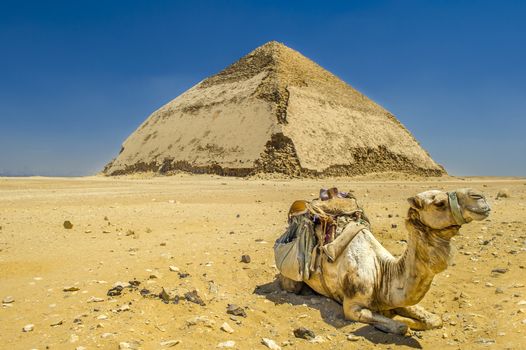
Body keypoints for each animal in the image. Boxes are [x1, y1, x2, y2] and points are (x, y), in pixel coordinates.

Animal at [282, 187, 492, 334]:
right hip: (291, 279)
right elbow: (400, 327)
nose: (480, 197)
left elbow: (434, 319)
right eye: (439, 203)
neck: (382, 272)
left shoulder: (394, 296)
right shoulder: (352, 307)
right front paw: (400, 321)